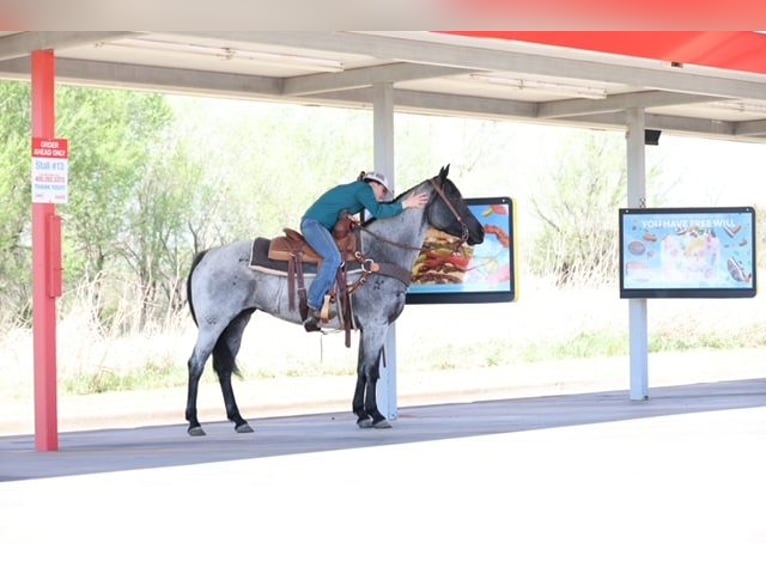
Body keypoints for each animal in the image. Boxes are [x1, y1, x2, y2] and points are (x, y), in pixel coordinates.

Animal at [184, 165, 485, 436]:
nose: (480, 232)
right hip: (213, 324)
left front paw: (361, 414)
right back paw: (195, 423)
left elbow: (361, 369)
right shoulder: (376, 325)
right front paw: (377, 415)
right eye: (454, 196)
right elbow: (372, 370)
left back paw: (240, 421)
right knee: (196, 364)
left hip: (237, 322)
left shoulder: (365, 327)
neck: (379, 253)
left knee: (223, 368)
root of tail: (207, 254)